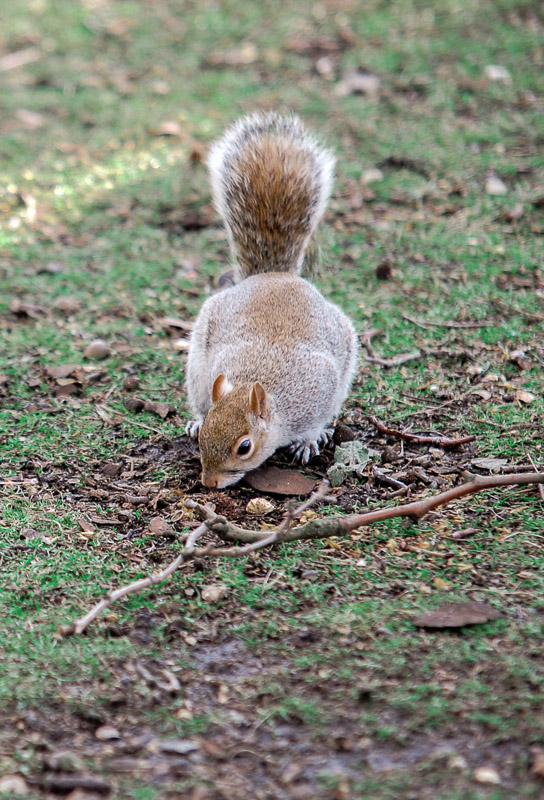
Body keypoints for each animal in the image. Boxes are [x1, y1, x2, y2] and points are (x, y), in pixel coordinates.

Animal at [186, 112, 358, 488]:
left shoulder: (319, 388)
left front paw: (308, 441)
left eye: (244, 447)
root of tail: (274, 275)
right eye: (206, 437)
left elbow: (313, 423)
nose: (209, 483)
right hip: (197, 363)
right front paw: (199, 422)